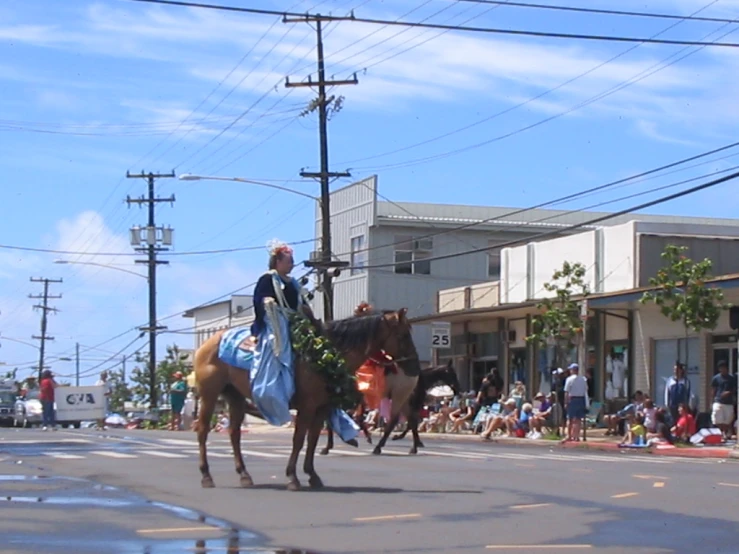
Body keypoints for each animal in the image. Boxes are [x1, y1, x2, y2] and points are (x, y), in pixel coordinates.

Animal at [194, 304, 420, 490]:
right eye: (403, 335)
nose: (415, 367)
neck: (327, 355)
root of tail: (208, 343)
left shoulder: (322, 408)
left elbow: (312, 440)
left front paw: (312, 475)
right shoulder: (308, 407)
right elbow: (299, 439)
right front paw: (293, 477)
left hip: (235, 396)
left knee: (234, 433)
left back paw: (244, 475)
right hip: (209, 394)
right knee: (203, 430)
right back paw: (206, 476)